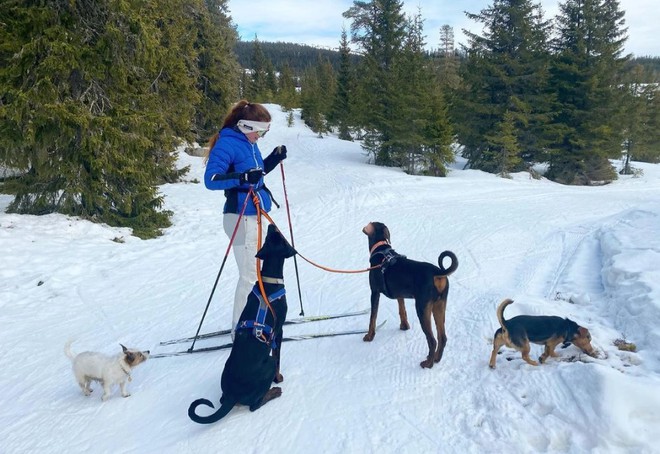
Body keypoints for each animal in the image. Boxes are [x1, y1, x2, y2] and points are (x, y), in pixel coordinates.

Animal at [188, 225, 296, 424]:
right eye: (279, 234)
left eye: (270, 236)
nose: (271, 225)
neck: (268, 281)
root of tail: (231, 396)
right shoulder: (279, 331)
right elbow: (278, 358)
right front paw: (278, 379)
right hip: (267, 365)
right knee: (255, 405)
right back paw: (274, 391)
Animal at [360, 221, 458, 368]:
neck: (380, 249)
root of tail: (438, 273)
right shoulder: (400, 294)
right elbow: (402, 310)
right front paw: (404, 326)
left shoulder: (375, 292)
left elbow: (373, 317)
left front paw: (369, 336)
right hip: (439, 305)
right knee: (442, 337)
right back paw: (436, 358)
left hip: (422, 308)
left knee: (432, 340)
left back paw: (428, 363)